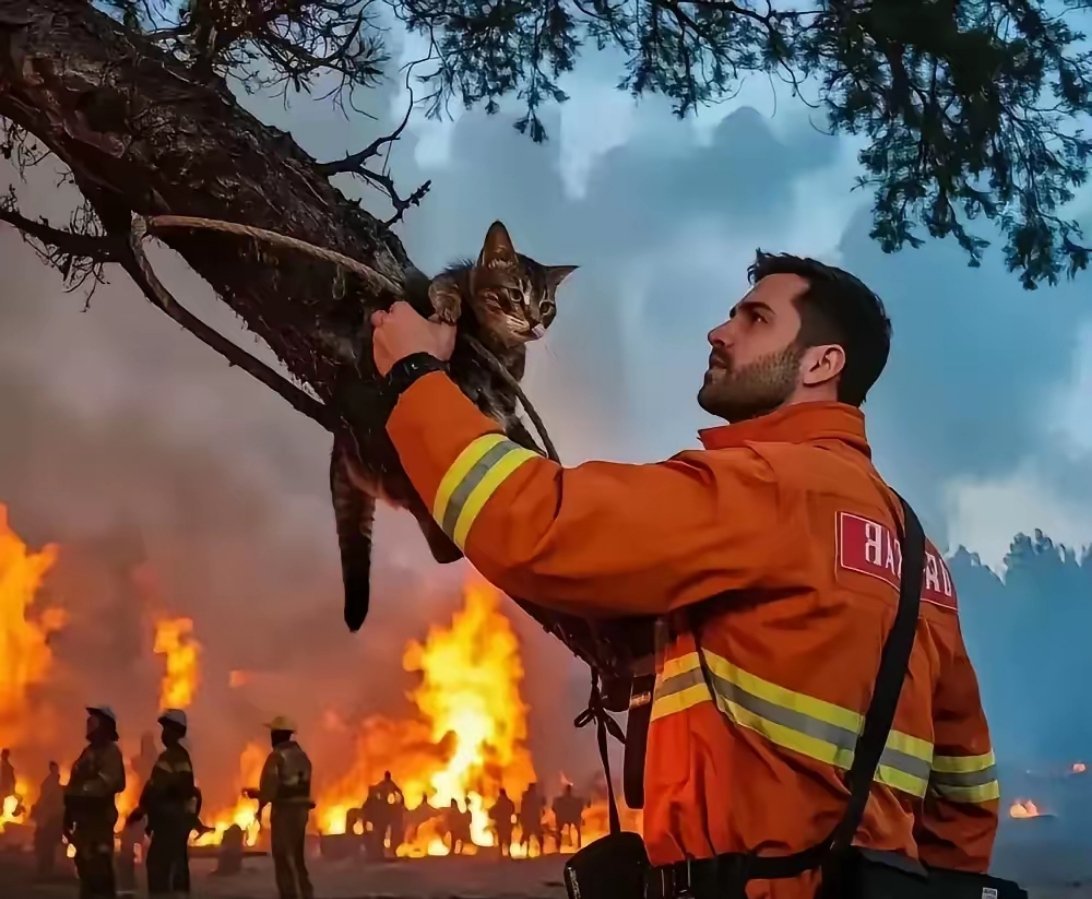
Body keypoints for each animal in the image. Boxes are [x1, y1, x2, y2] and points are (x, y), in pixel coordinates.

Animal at [327, 220, 576, 633]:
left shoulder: (507, 391)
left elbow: (509, 411)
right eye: (514, 294)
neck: (498, 343)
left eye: (547, 307)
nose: (534, 323)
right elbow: (443, 286)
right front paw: (449, 305)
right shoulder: (447, 282)